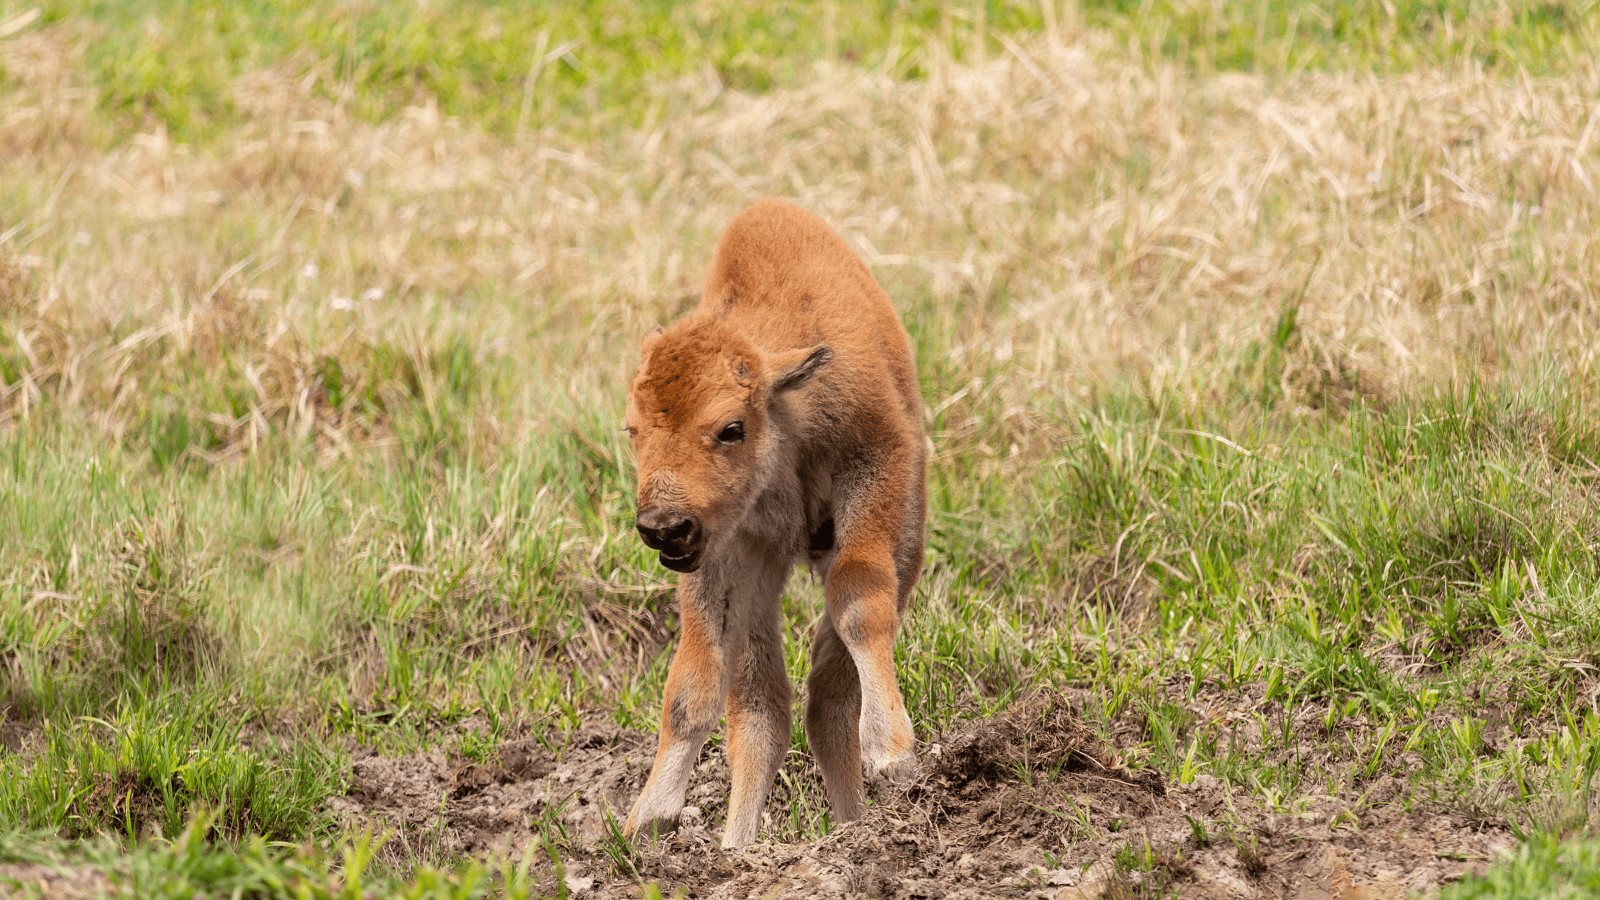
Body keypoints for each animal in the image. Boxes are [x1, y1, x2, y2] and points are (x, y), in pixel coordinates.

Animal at [622, 199, 927, 848]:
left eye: (731, 427)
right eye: (632, 429)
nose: (663, 526)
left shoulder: (875, 471)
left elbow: (859, 602)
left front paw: (892, 753)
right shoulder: (728, 554)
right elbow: (695, 685)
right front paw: (649, 816)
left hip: (903, 541)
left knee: (829, 696)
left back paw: (854, 823)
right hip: (759, 581)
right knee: (765, 710)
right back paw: (740, 847)